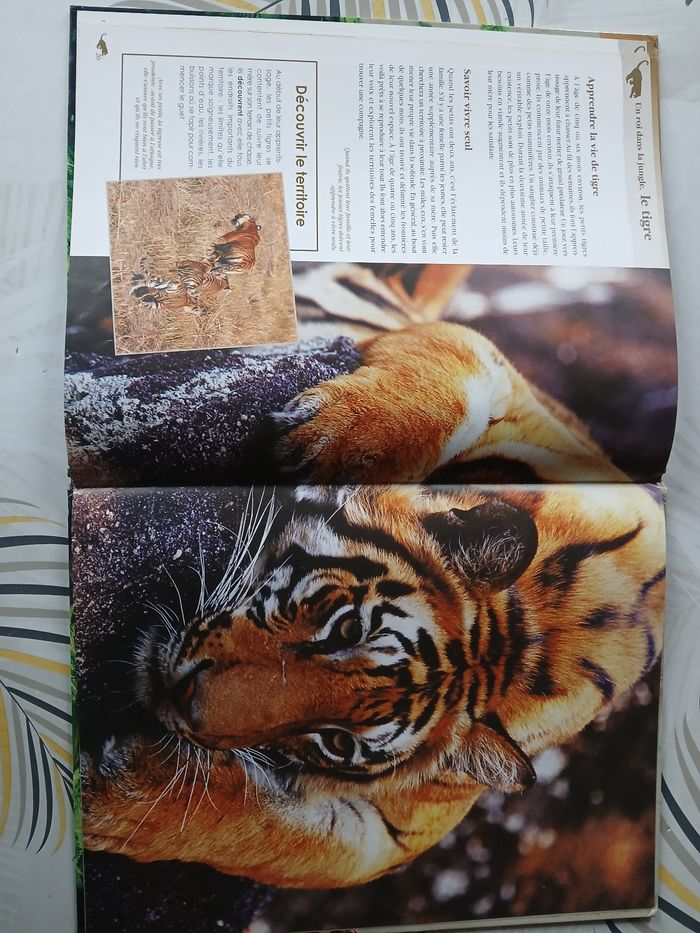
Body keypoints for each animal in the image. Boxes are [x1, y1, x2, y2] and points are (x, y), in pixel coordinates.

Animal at [81, 480, 665, 889]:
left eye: (339, 742)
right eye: (346, 630)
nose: (183, 700)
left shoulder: (399, 834)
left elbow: (273, 837)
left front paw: (104, 797)